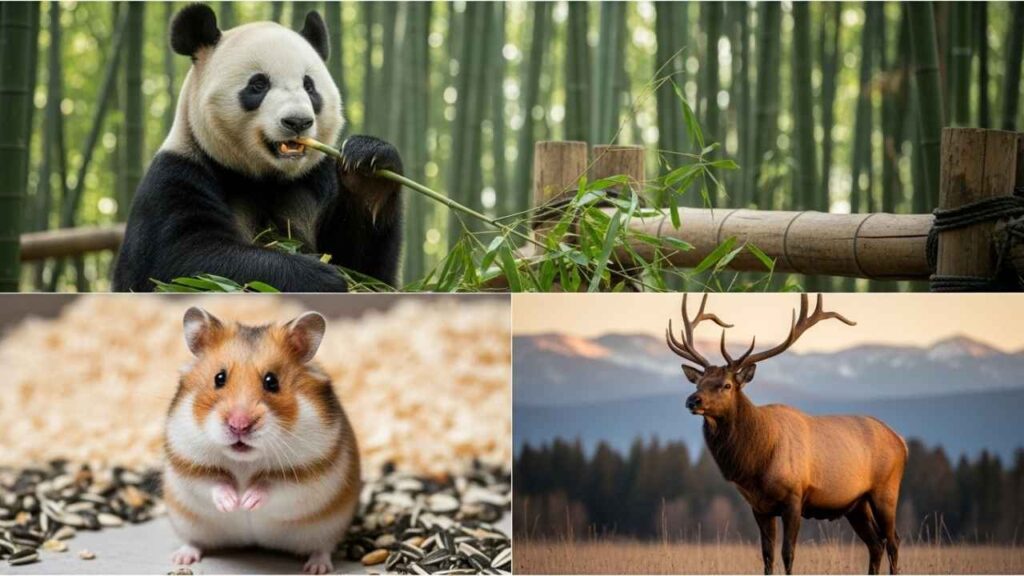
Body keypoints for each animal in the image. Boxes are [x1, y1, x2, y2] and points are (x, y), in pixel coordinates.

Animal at [113, 3, 402, 292]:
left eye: (309, 86)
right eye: (259, 84)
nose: (298, 121)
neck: (266, 178)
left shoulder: (316, 180)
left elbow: (365, 268)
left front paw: (368, 170)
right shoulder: (176, 176)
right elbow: (182, 260)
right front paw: (319, 278)